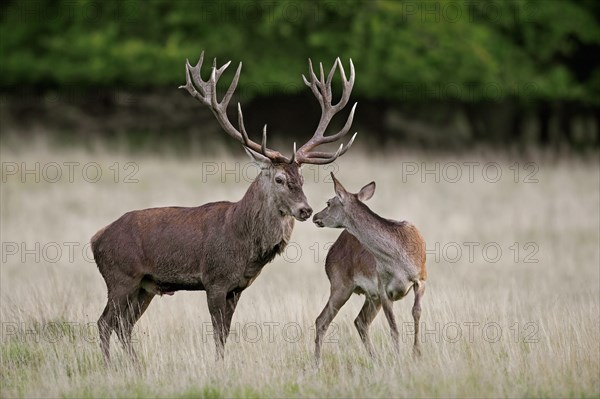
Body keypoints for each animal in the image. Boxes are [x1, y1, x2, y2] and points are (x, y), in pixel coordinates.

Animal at [91, 53, 358, 362]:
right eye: (279, 179)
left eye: (302, 179)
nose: (305, 210)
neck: (244, 245)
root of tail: (95, 238)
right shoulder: (215, 280)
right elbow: (218, 334)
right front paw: (219, 364)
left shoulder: (237, 287)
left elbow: (226, 333)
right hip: (121, 277)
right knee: (105, 322)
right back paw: (111, 364)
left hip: (144, 286)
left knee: (124, 325)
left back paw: (134, 364)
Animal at [312, 174, 424, 362]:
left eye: (328, 202)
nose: (314, 216)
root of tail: (330, 254)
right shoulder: (383, 288)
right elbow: (394, 327)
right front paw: (399, 357)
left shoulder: (421, 278)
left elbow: (416, 312)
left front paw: (416, 353)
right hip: (341, 284)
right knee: (322, 320)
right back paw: (316, 363)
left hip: (370, 296)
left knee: (360, 321)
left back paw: (375, 359)